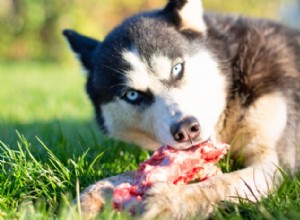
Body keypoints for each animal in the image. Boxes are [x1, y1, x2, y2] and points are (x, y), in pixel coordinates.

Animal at [62, 0, 300, 218]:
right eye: (132, 95)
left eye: (177, 69)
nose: (186, 129)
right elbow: (124, 176)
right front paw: (87, 198)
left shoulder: (274, 164)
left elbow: (221, 183)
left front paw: (169, 200)